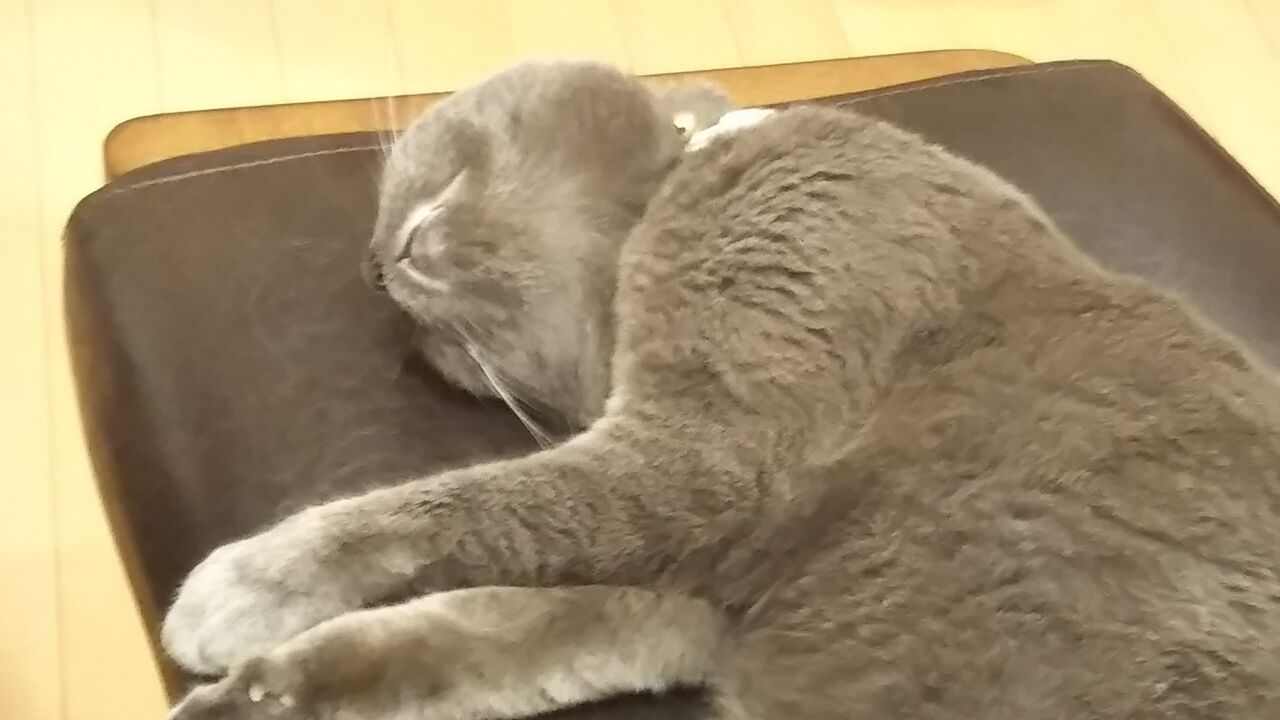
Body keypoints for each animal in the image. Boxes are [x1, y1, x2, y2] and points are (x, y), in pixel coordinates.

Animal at [162, 58, 1280, 720]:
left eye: (436, 177)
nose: (375, 265)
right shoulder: (682, 594)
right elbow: (470, 633)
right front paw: (251, 697)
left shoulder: (713, 455)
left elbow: (461, 508)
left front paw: (238, 588)